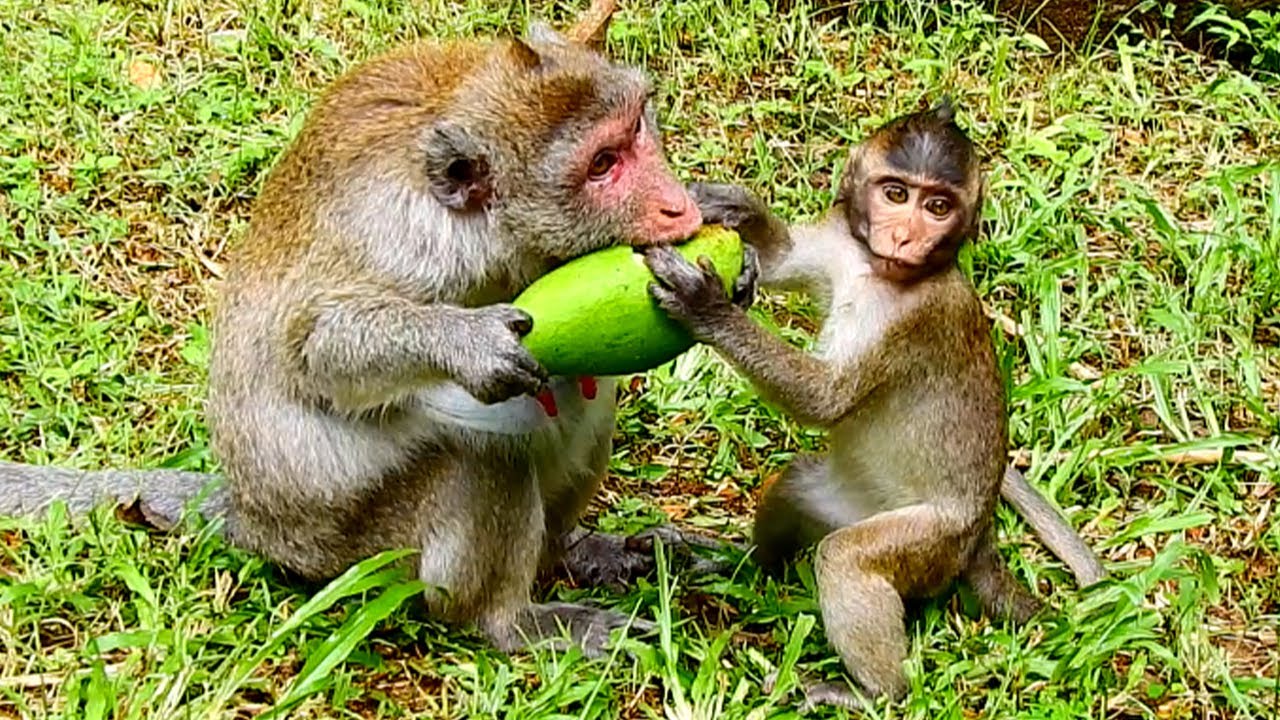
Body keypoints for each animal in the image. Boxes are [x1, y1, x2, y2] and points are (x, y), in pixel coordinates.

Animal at [0, 0, 749, 658]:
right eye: (601, 165)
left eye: (638, 129)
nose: (674, 204)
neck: (491, 230)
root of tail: (253, 515)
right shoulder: (408, 243)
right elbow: (314, 350)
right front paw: (465, 343)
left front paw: (730, 247)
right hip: (357, 544)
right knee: (486, 456)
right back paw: (509, 621)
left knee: (584, 398)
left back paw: (572, 550)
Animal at [642, 99, 1107, 708]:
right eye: (896, 193)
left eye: (938, 206)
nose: (905, 235)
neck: (879, 271)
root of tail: (979, 538)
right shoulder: (843, 241)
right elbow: (785, 259)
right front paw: (731, 205)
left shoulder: (911, 322)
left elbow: (826, 399)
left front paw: (708, 307)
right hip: (844, 500)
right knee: (798, 482)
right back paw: (740, 565)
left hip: (929, 542)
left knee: (847, 559)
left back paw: (872, 693)